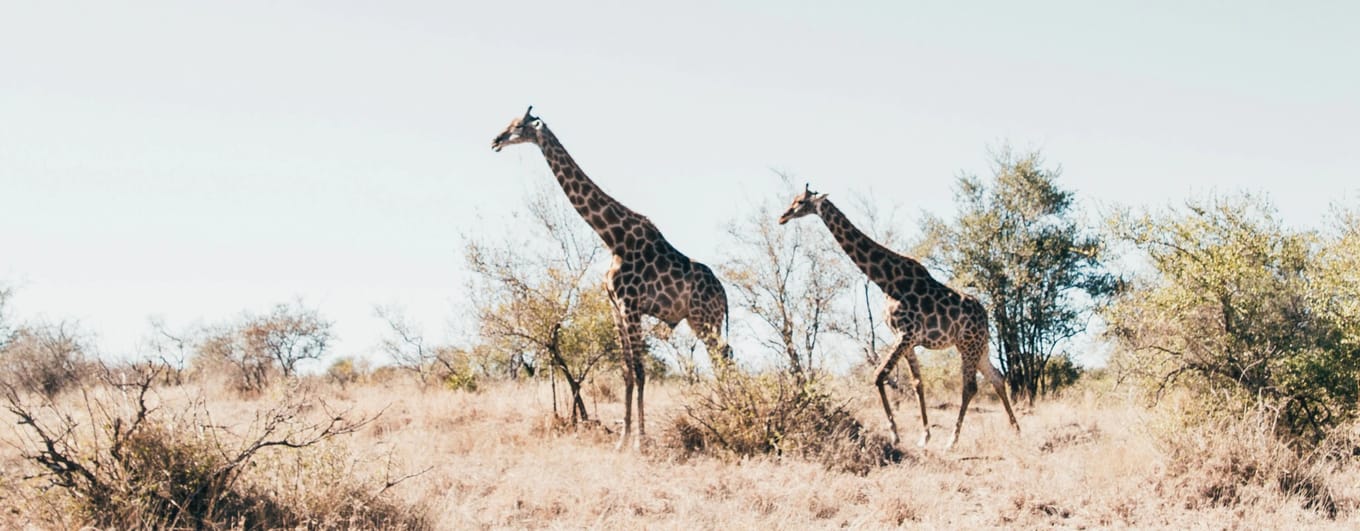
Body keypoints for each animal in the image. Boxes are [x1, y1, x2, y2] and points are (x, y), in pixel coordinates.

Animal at [495, 104, 734, 449]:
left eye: (518, 126)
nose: (495, 140)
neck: (613, 238)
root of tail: (725, 294)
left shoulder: (630, 305)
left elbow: (641, 369)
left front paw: (640, 442)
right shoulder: (615, 307)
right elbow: (626, 371)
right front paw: (622, 439)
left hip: (707, 318)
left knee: (723, 358)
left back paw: (728, 415)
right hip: (698, 320)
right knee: (723, 358)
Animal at [777, 185, 1022, 449]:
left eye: (801, 202)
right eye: (793, 200)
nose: (782, 217)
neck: (886, 280)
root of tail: (985, 315)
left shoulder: (906, 334)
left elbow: (879, 375)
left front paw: (895, 435)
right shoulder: (908, 339)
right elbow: (917, 384)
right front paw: (924, 437)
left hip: (968, 344)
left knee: (970, 387)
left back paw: (952, 441)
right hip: (978, 346)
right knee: (997, 378)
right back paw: (1016, 430)